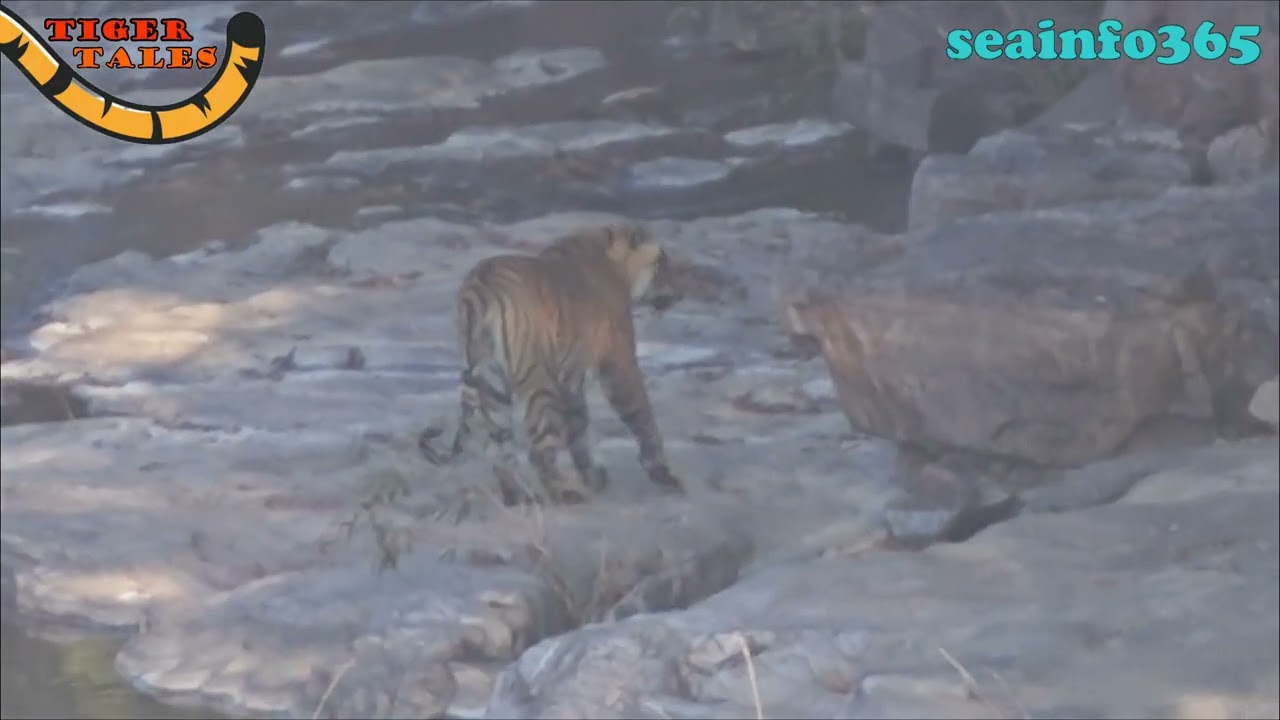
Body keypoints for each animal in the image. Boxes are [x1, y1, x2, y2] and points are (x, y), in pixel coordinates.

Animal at [419, 221, 687, 507]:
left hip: (491, 385)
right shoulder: (617, 362)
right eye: (661, 262)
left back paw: (517, 496)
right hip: (537, 380)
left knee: (499, 448)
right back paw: (564, 493)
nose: (680, 292)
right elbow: (641, 416)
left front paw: (594, 476)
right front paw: (662, 473)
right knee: (539, 449)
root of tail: (479, 288)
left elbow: (579, 427)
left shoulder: (572, 377)